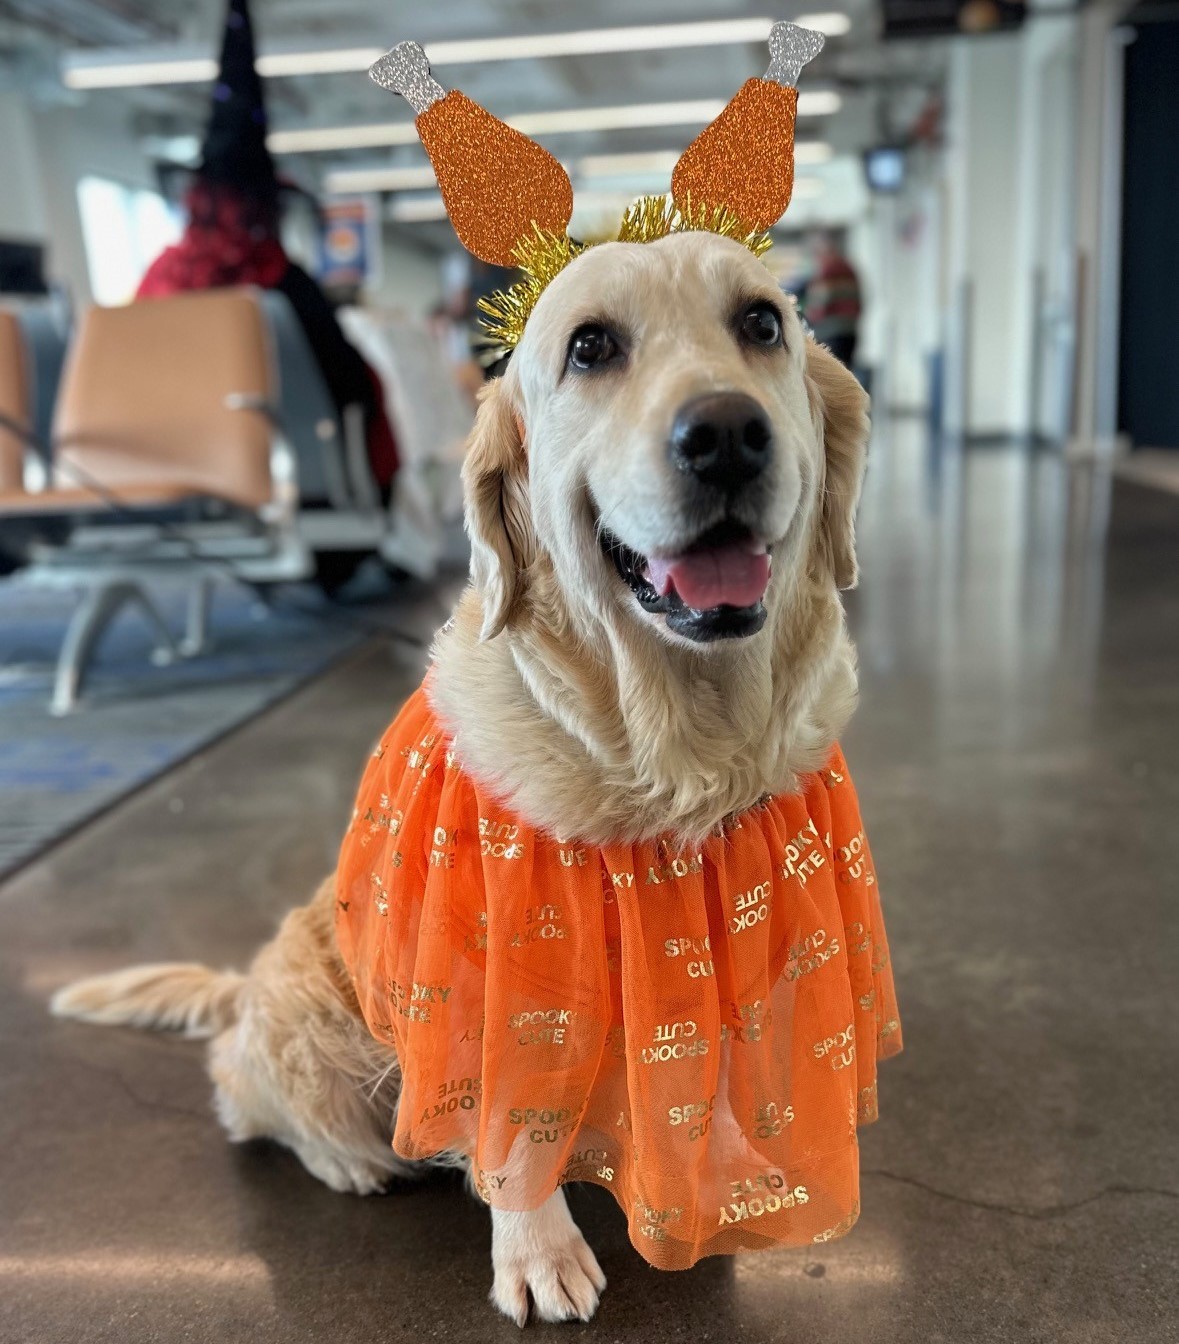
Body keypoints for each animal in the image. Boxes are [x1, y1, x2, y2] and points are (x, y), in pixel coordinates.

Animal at [52, 228, 865, 1322]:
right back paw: (350, 1158)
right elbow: (510, 1135)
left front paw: (722, 1177)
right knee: (244, 1090)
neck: (670, 752)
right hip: (313, 1023)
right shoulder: (491, 974)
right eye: (591, 346)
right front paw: (537, 1252)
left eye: (762, 323)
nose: (727, 434)